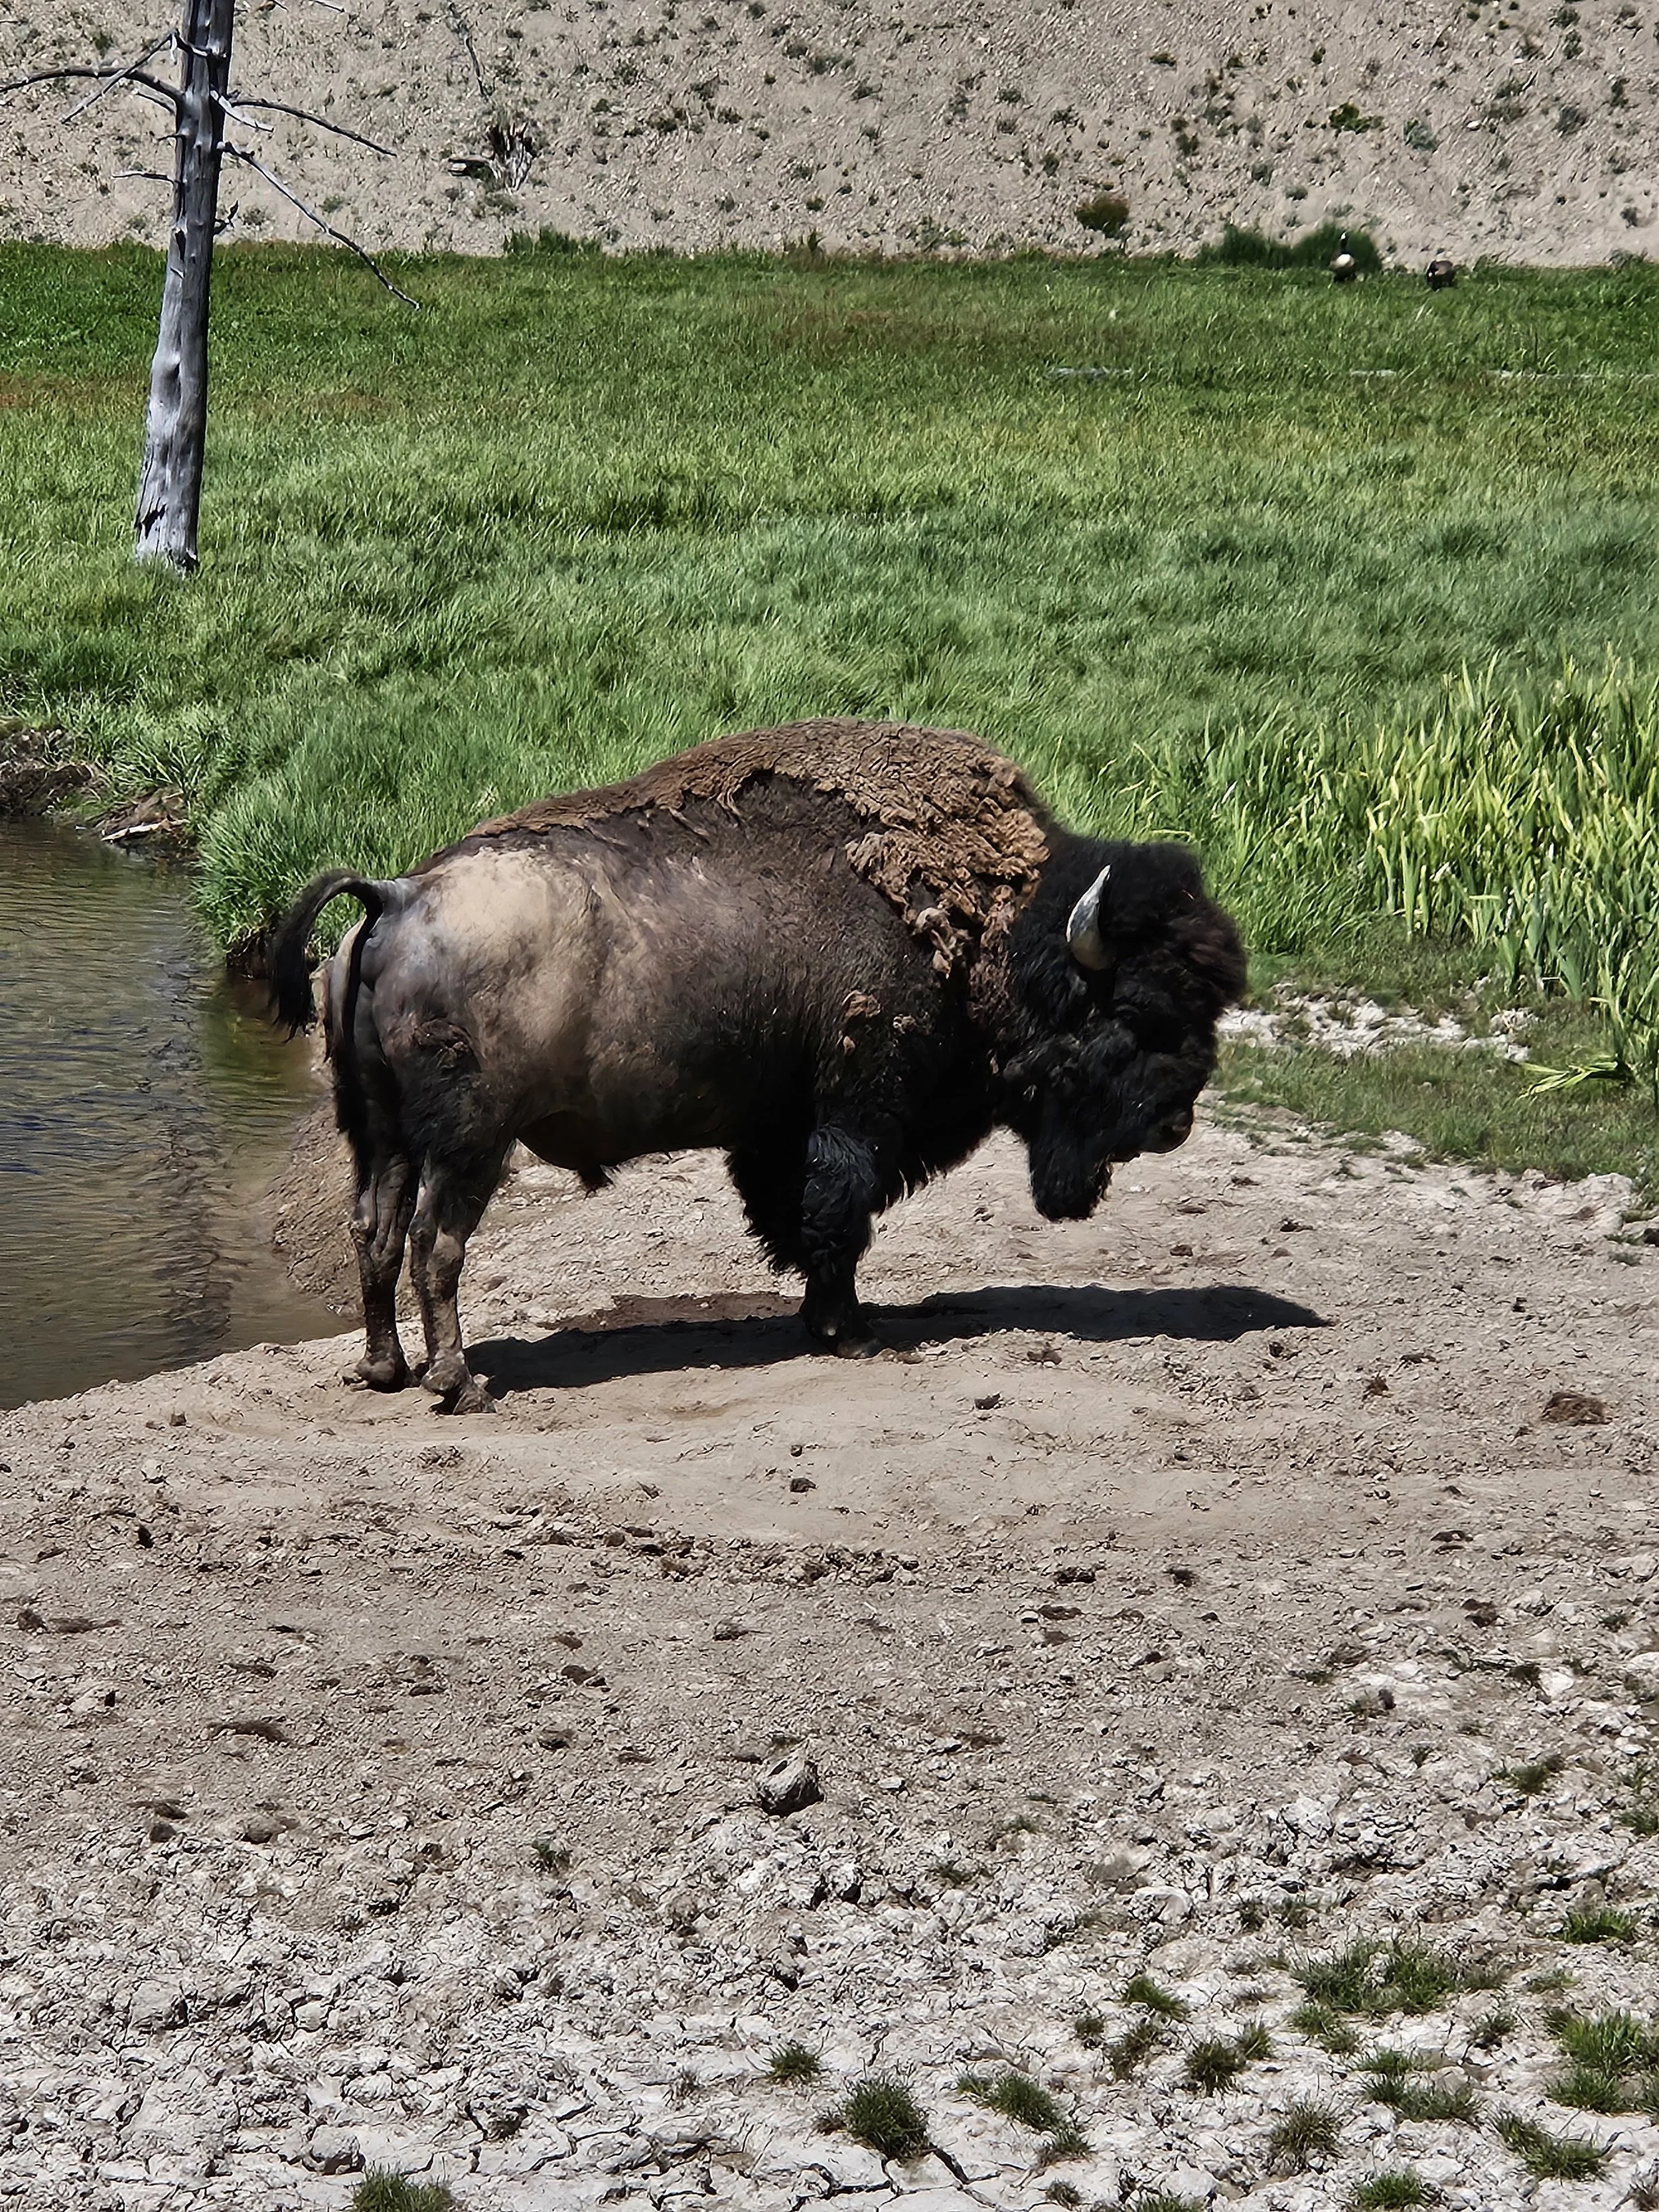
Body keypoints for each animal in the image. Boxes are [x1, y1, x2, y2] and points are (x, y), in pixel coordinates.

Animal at [271, 720, 1245, 1412]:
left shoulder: (782, 1128)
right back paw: (459, 1383)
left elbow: (801, 1215)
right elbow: (838, 1212)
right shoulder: (859, 1108)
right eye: (1136, 1014)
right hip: (470, 1142)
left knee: (374, 1232)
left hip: (380, 1133)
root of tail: (398, 896)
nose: (1175, 1122)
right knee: (436, 1242)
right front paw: (849, 1332)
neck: (991, 932)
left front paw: (829, 1318)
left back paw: (385, 1368)